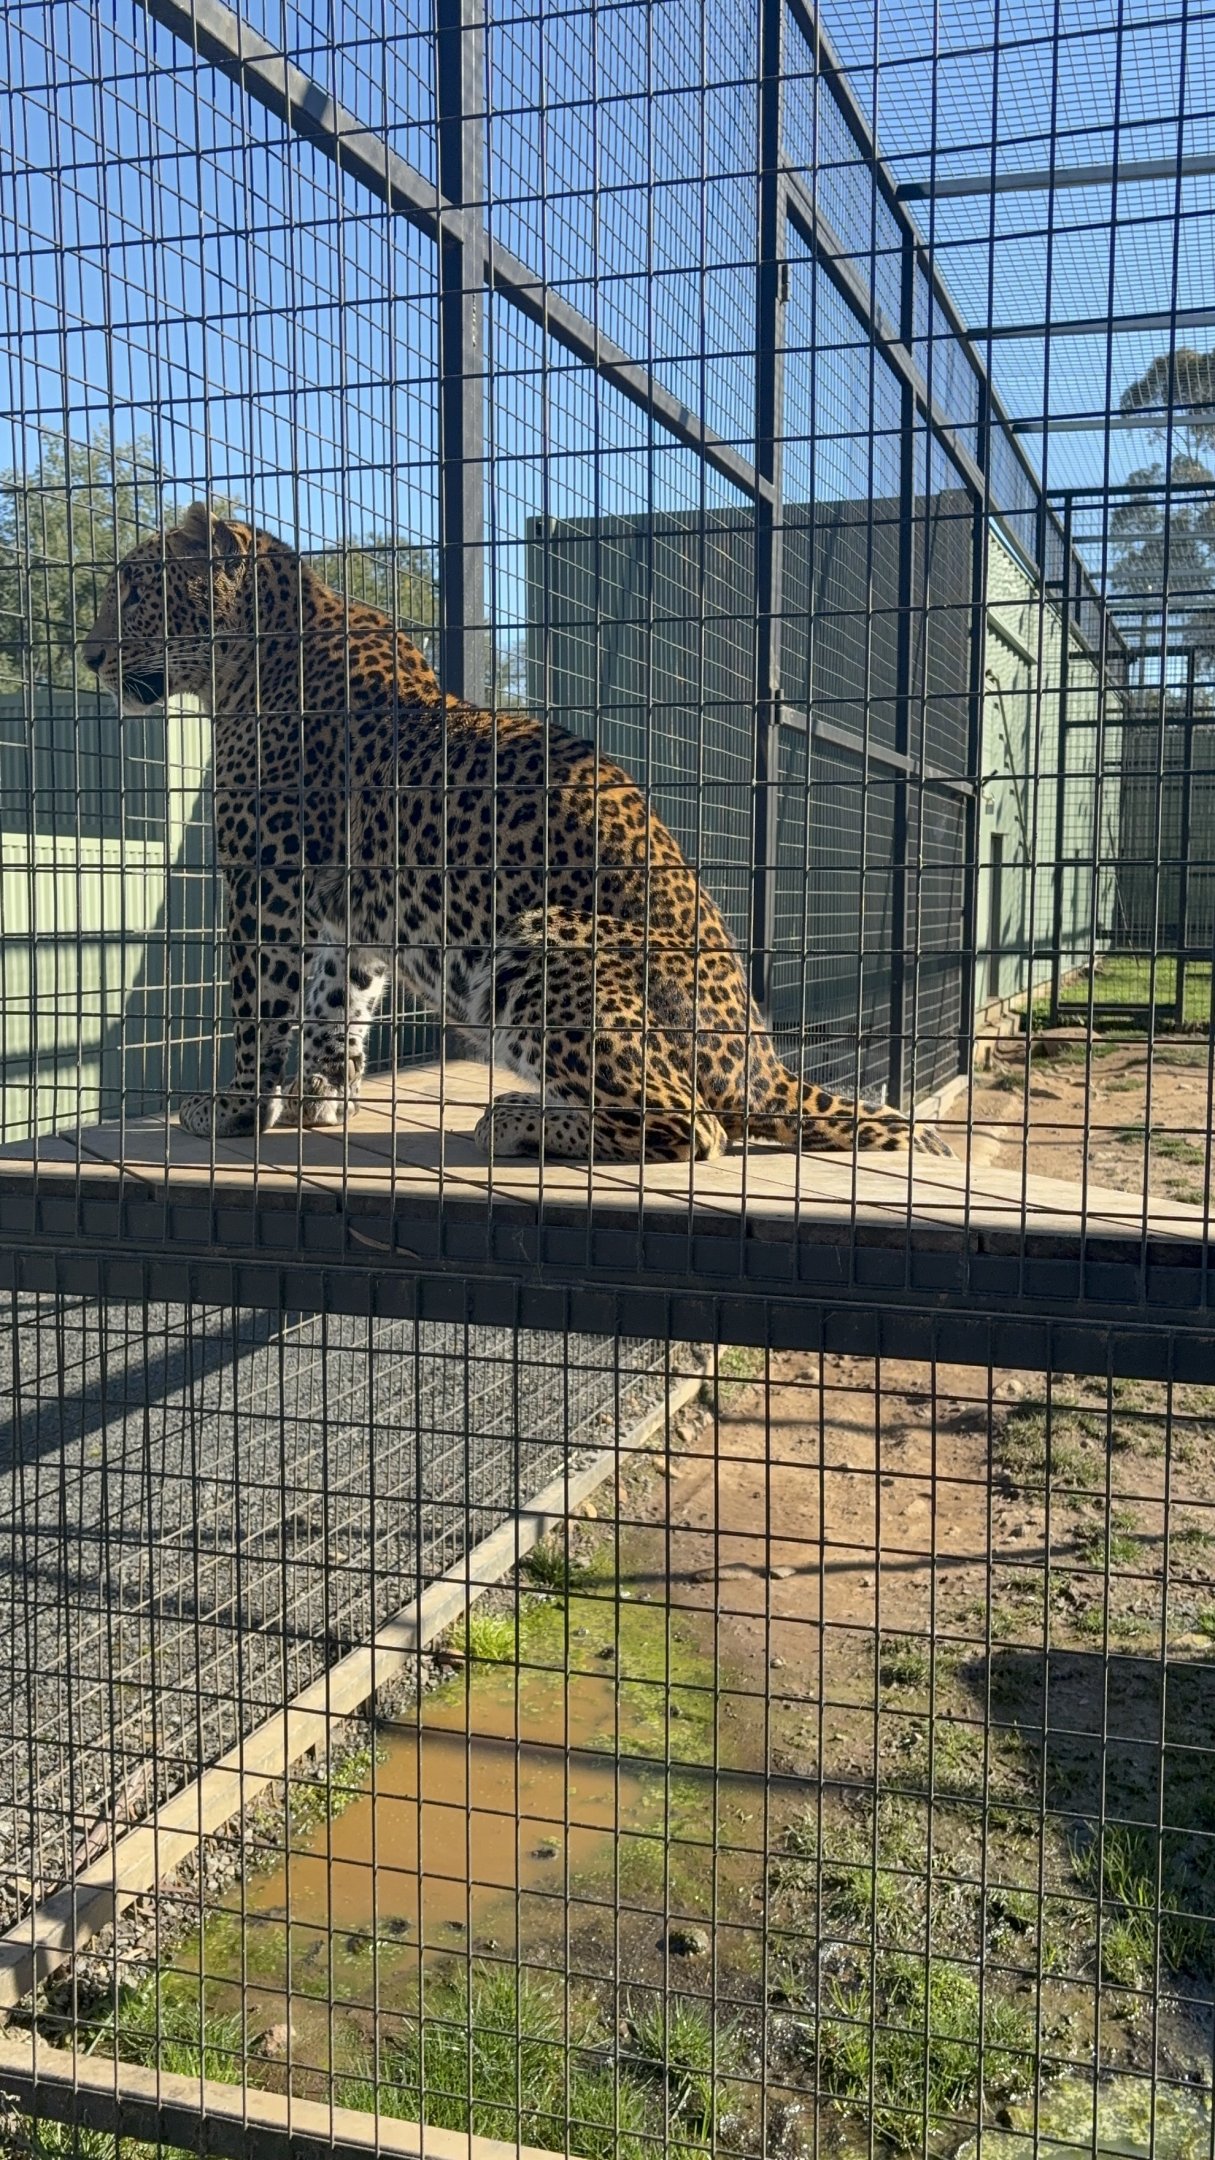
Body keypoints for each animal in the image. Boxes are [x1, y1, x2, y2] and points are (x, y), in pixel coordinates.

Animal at [83, 502, 952, 1165]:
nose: (88, 657)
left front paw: (234, 1105)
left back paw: (515, 1119)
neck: (246, 665)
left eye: (134, 591)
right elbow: (339, 1002)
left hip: (537, 945)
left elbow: (258, 1009)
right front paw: (321, 1096)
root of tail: (762, 1063)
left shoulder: (263, 882)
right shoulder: (340, 907)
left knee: (691, 1126)